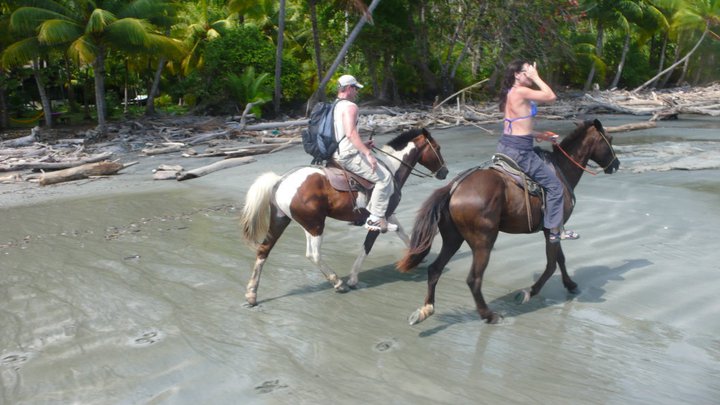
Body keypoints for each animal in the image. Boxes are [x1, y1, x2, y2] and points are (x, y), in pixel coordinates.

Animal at [240, 128, 448, 306]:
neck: (392, 169)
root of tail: (280, 180)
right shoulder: (378, 220)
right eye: (437, 148)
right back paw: (338, 282)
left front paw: (417, 255)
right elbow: (367, 247)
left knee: (264, 251)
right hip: (315, 225)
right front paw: (354, 278)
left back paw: (251, 293)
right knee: (313, 254)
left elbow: (404, 234)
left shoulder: (389, 215)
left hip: (283, 221)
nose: (445, 172)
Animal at [396, 119, 620, 325]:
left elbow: (560, 260)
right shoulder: (552, 228)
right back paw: (489, 315)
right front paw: (530, 291)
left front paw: (570, 284)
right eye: (609, 139)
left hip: (453, 239)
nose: (616, 165)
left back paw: (426, 309)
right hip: (484, 242)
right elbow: (551, 265)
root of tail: (453, 187)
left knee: (435, 269)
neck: (560, 170)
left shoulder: (551, 229)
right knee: (473, 279)